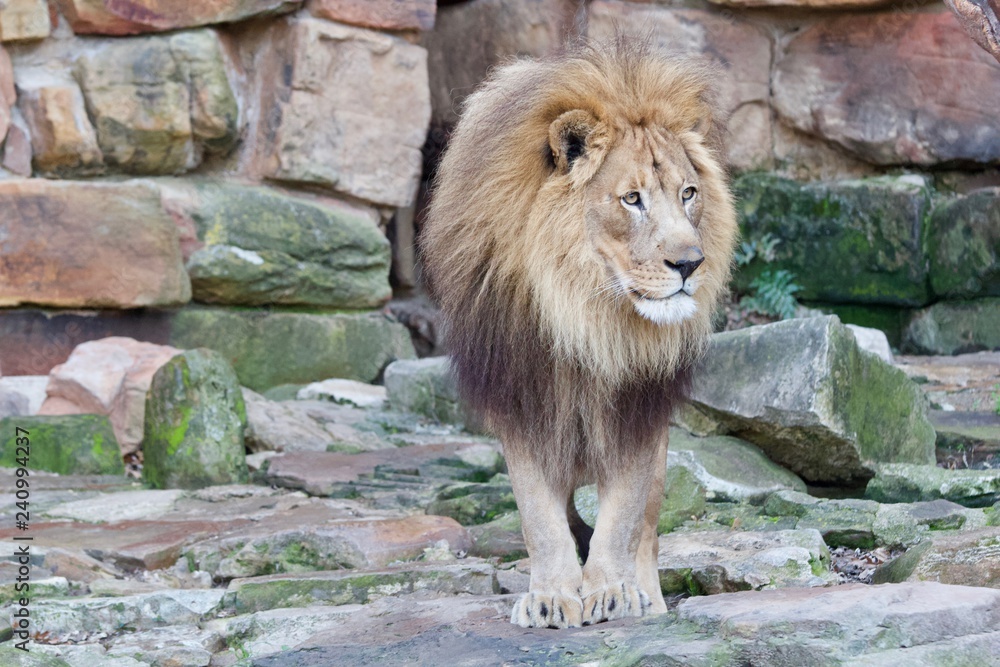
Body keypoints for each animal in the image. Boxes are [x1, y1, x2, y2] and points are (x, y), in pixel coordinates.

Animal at [420, 36, 738, 628]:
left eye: (687, 193)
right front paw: (551, 595)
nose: (691, 263)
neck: (586, 312)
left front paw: (612, 591)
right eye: (632, 199)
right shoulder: (523, 401)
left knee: (648, 526)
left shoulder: (638, 406)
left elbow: (625, 515)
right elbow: (540, 519)